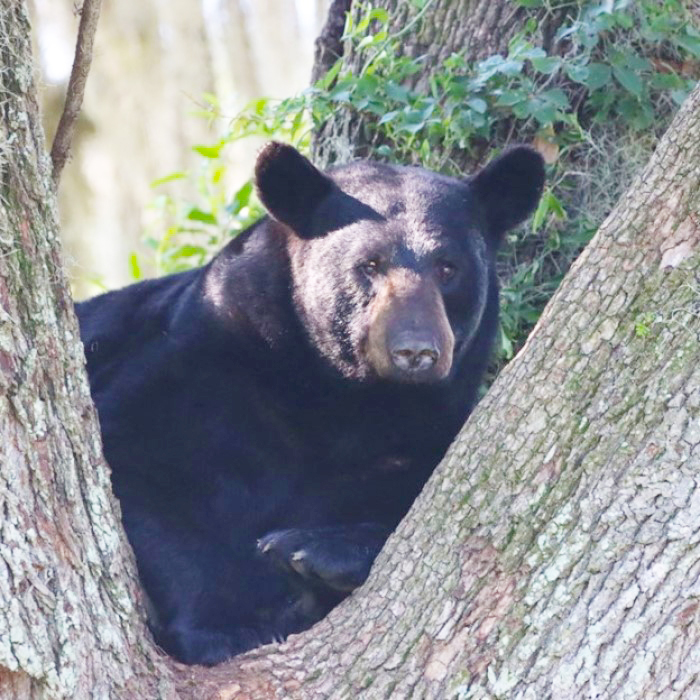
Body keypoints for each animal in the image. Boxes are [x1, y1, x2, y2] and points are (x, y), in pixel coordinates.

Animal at [78, 144, 548, 668]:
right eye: (369, 264)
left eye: (448, 267)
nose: (416, 351)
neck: (337, 396)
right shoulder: (194, 370)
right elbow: (140, 468)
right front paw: (227, 628)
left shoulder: (423, 434)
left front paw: (310, 550)